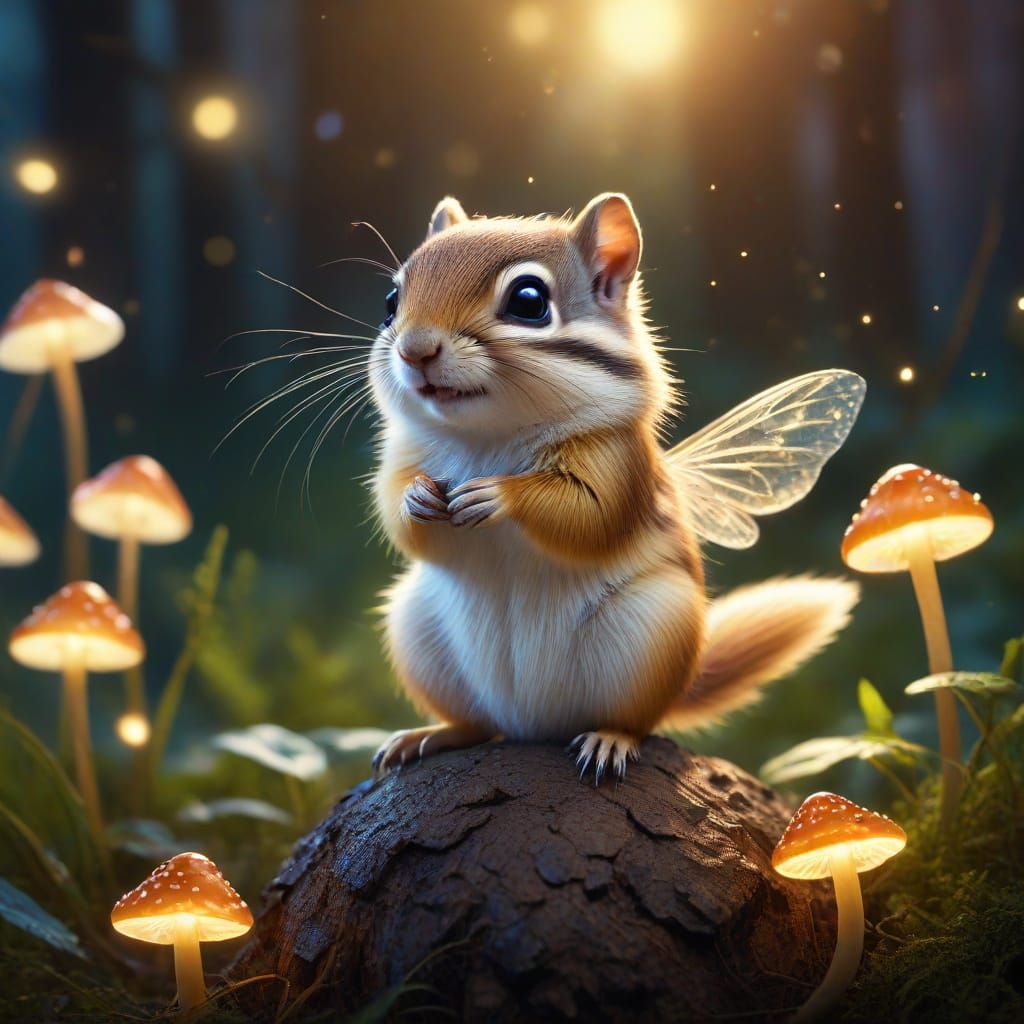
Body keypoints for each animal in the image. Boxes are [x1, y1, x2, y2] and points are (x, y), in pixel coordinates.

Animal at [368, 192, 862, 781]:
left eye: (528, 301)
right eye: (391, 300)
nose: (414, 350)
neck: (490, 436)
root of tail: (532, 725)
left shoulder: (618, 463)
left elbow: (590, 517)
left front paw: (497, 494)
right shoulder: (400, 456)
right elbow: (398, 515)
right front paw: (417, 497)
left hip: (653, 630)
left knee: (635, 720)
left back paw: (609, 740)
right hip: (417, 631)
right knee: (478, 724)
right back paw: (431, 734)